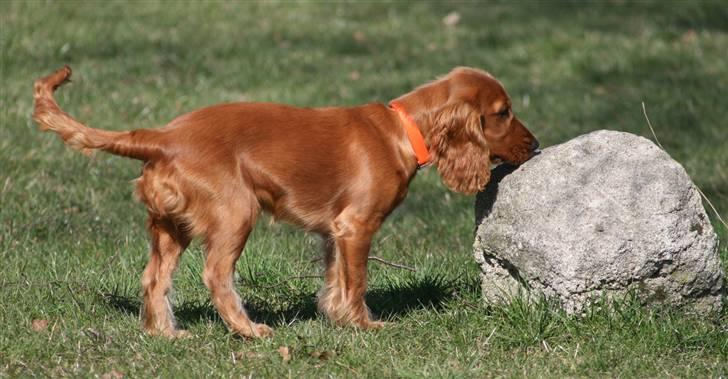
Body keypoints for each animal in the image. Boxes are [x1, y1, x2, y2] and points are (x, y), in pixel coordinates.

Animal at [31, 65, 536, 338]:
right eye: (502, 113)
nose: (533, 146)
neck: (402, 130)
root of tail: (161, 138)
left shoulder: (335, 231)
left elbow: (335, 279)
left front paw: (336, 318)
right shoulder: (357, 226)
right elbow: (357, 281)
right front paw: (365, 326)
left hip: (169, 225)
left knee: (154, 278)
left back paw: (166, 334)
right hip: (236, 211)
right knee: (215, 274)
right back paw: (247, 330)